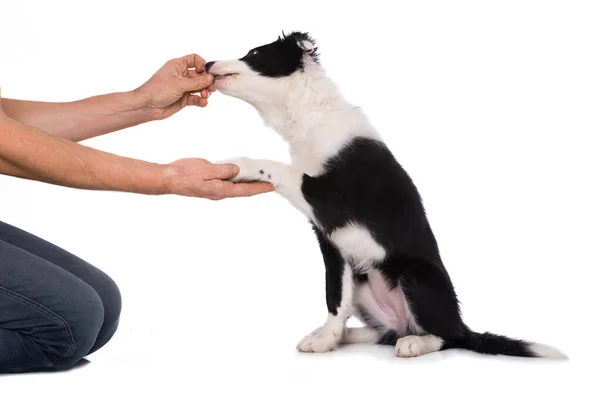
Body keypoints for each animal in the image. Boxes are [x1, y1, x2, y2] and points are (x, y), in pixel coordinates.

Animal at [207, 32, 568, 360]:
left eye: (254, 53)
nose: (208, 63)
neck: (311, 114)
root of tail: (461, 324)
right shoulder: (330, 239)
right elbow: (335, 296)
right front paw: (326, 338)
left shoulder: (331, 200)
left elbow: (279, 167)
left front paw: (237, 165)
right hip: (366, 278)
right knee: (387, 330)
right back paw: (351, 336)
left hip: (416, 275)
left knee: (446, 336)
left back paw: (415, 344)